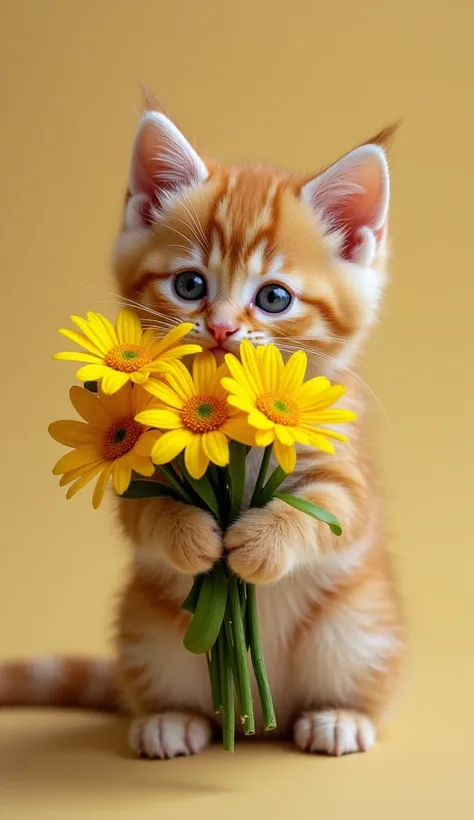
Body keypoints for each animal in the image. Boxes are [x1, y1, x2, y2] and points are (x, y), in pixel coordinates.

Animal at [0, 99, 404, 760]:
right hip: (148, 629)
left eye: (274, 297)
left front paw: (262, 543)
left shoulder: (345, 470)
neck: (237, 431)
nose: (220, 328)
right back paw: (171, 720)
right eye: (190, 285)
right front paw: (193, 536)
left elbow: (330, 511)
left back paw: (339, 716)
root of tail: (261, 719)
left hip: (359, 626)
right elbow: (146, 513)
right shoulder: (140, 471)